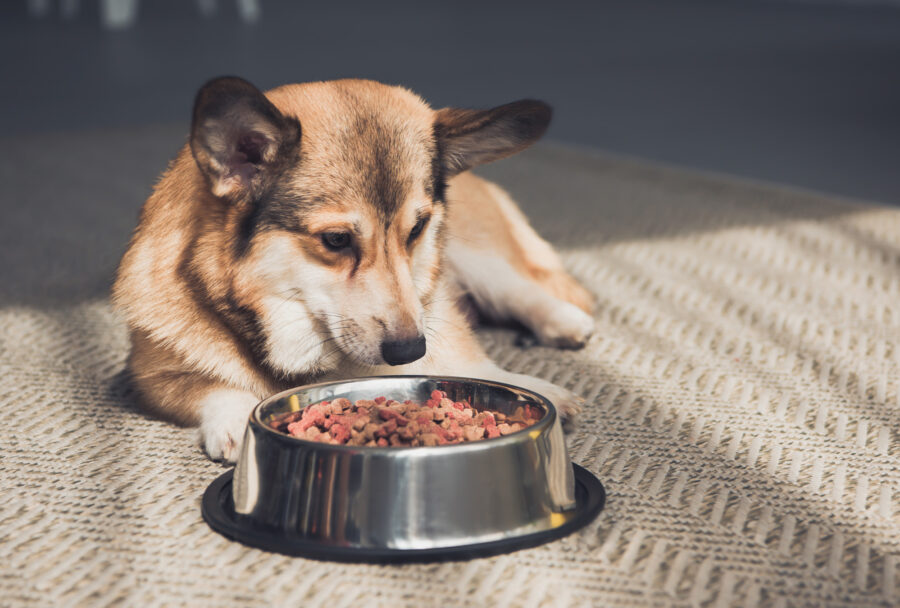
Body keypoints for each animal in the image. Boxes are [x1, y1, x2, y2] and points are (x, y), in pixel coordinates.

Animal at [112, 78, 596, 464]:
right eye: (336, 240)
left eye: (417, 228)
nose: (409, 349)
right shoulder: (149, 378)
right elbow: (214, 386)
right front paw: (235, 420)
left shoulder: (431, 314)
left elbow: (464, 361)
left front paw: (528, 387)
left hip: (471, 257)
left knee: (521, 290)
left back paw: (565, 323)